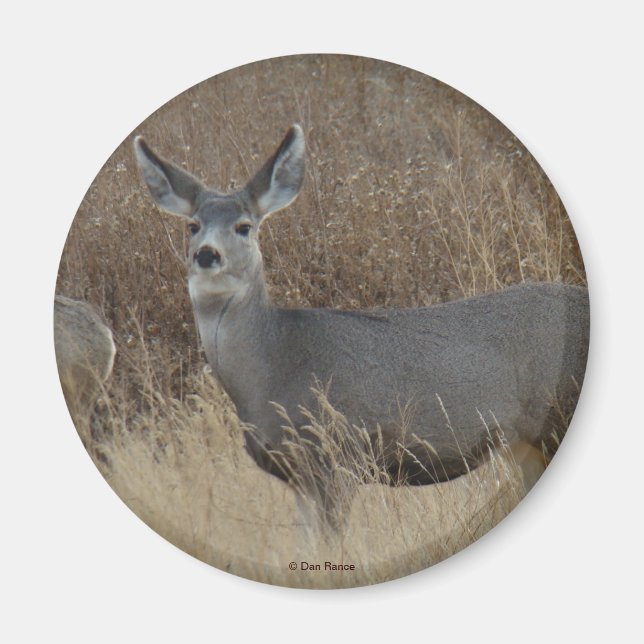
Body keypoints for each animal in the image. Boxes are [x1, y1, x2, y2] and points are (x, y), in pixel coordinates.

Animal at [134, 124, 589, 533]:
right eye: (192, 225)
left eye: (244, 226)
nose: (206, 254)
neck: (271, 369)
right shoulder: (297, 473)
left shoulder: (339, 454)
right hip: (525, 445)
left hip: (556, 416)